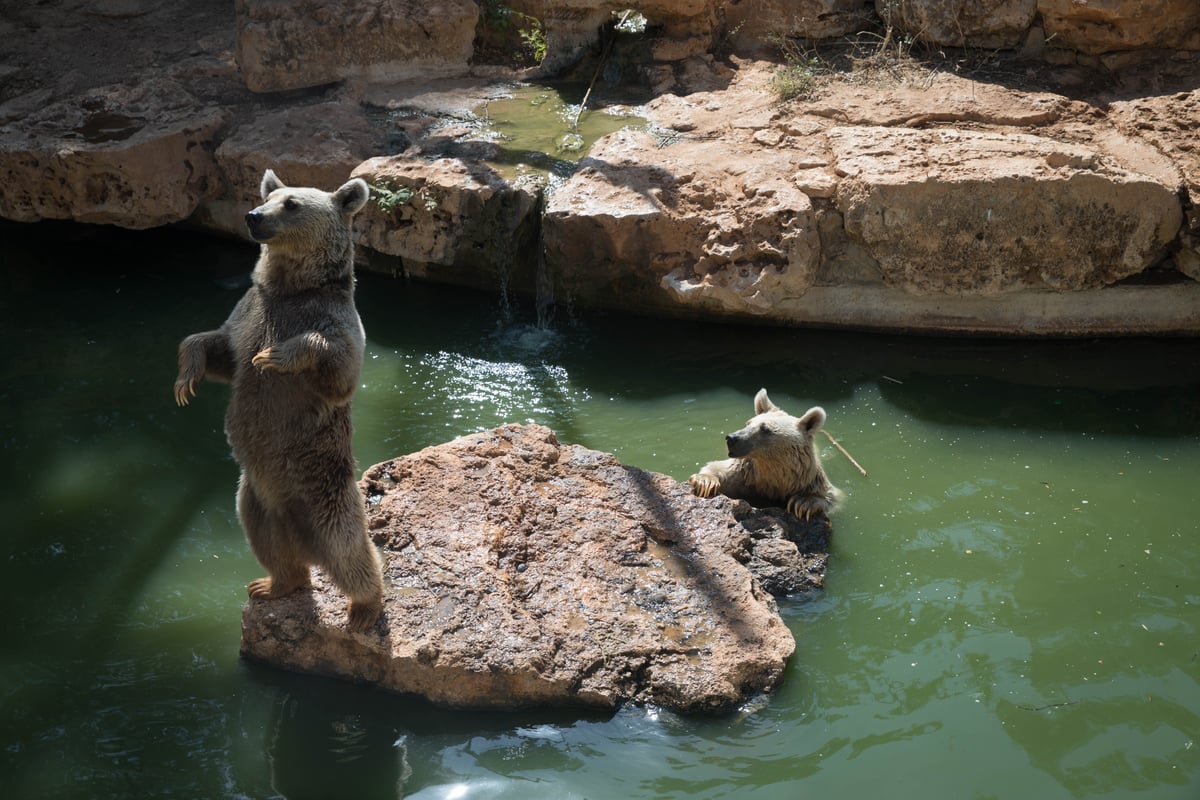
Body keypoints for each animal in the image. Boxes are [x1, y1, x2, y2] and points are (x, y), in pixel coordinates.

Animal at [175, 169, 384, 633]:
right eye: (270, 196)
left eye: (291, 204)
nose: (254, 216)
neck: (291, 286)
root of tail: (303, 539)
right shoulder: (249, 312)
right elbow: (219, 348)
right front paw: (186, 377)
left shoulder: (337, 323)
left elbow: (337, 369)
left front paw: (274, 357)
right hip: (252, 495)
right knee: (268, 543)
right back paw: (272, 583)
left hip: (324, 490)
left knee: (350, 548)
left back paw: (365, 607)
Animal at [686, 388, 844, 520]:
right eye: (748, 423)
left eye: (765, 429)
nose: (732, 438)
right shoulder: (744, 475)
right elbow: (718, 468)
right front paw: (705, 482)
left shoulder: (809, 480)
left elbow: (830, 497)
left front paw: (803, 503)